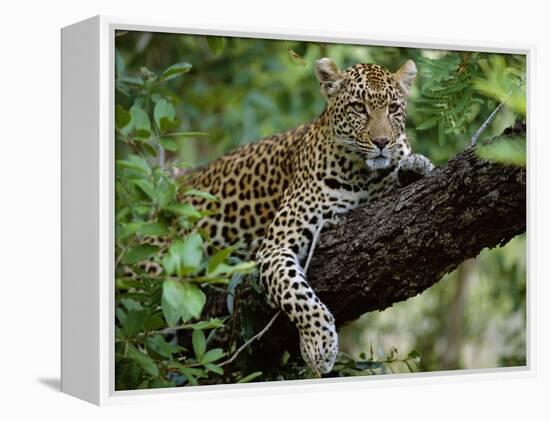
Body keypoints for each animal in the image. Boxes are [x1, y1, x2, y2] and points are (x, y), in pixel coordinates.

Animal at [135, 58, 436, 374]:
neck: (363, 175)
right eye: (358, 107)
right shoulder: (275, 247)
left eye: (393, 108)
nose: (382, 142)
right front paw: (319, 345)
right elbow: (298, 295)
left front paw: (414, 166)